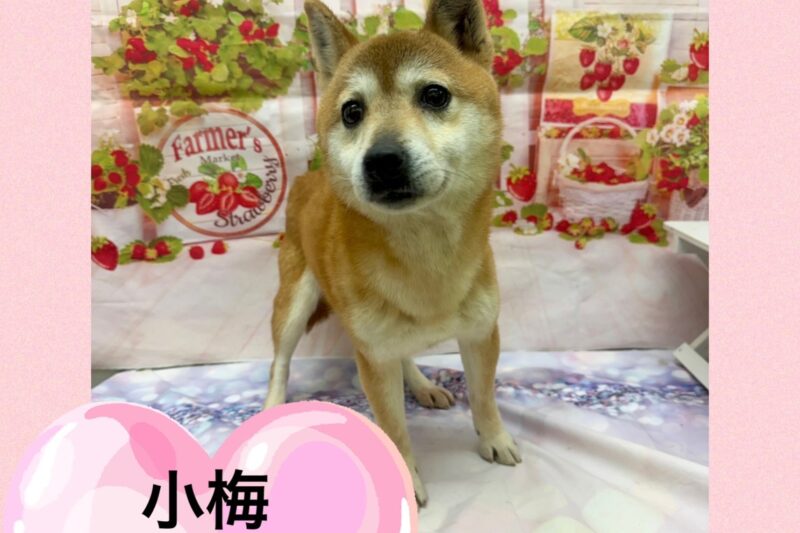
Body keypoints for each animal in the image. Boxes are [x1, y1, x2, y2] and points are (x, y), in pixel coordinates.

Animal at [264, 0, 521, 505]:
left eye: (435, 95)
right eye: (352, 111)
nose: (382, 160)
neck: (426, 255)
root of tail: (309, 178)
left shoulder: (481, 332)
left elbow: (484, 397)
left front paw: (494, 438)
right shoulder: (373, 357)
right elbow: (393, 429)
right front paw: (405, 476)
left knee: (405, 354)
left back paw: (422, 385)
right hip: (296, 300)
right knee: (280, 360)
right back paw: (272, 404)